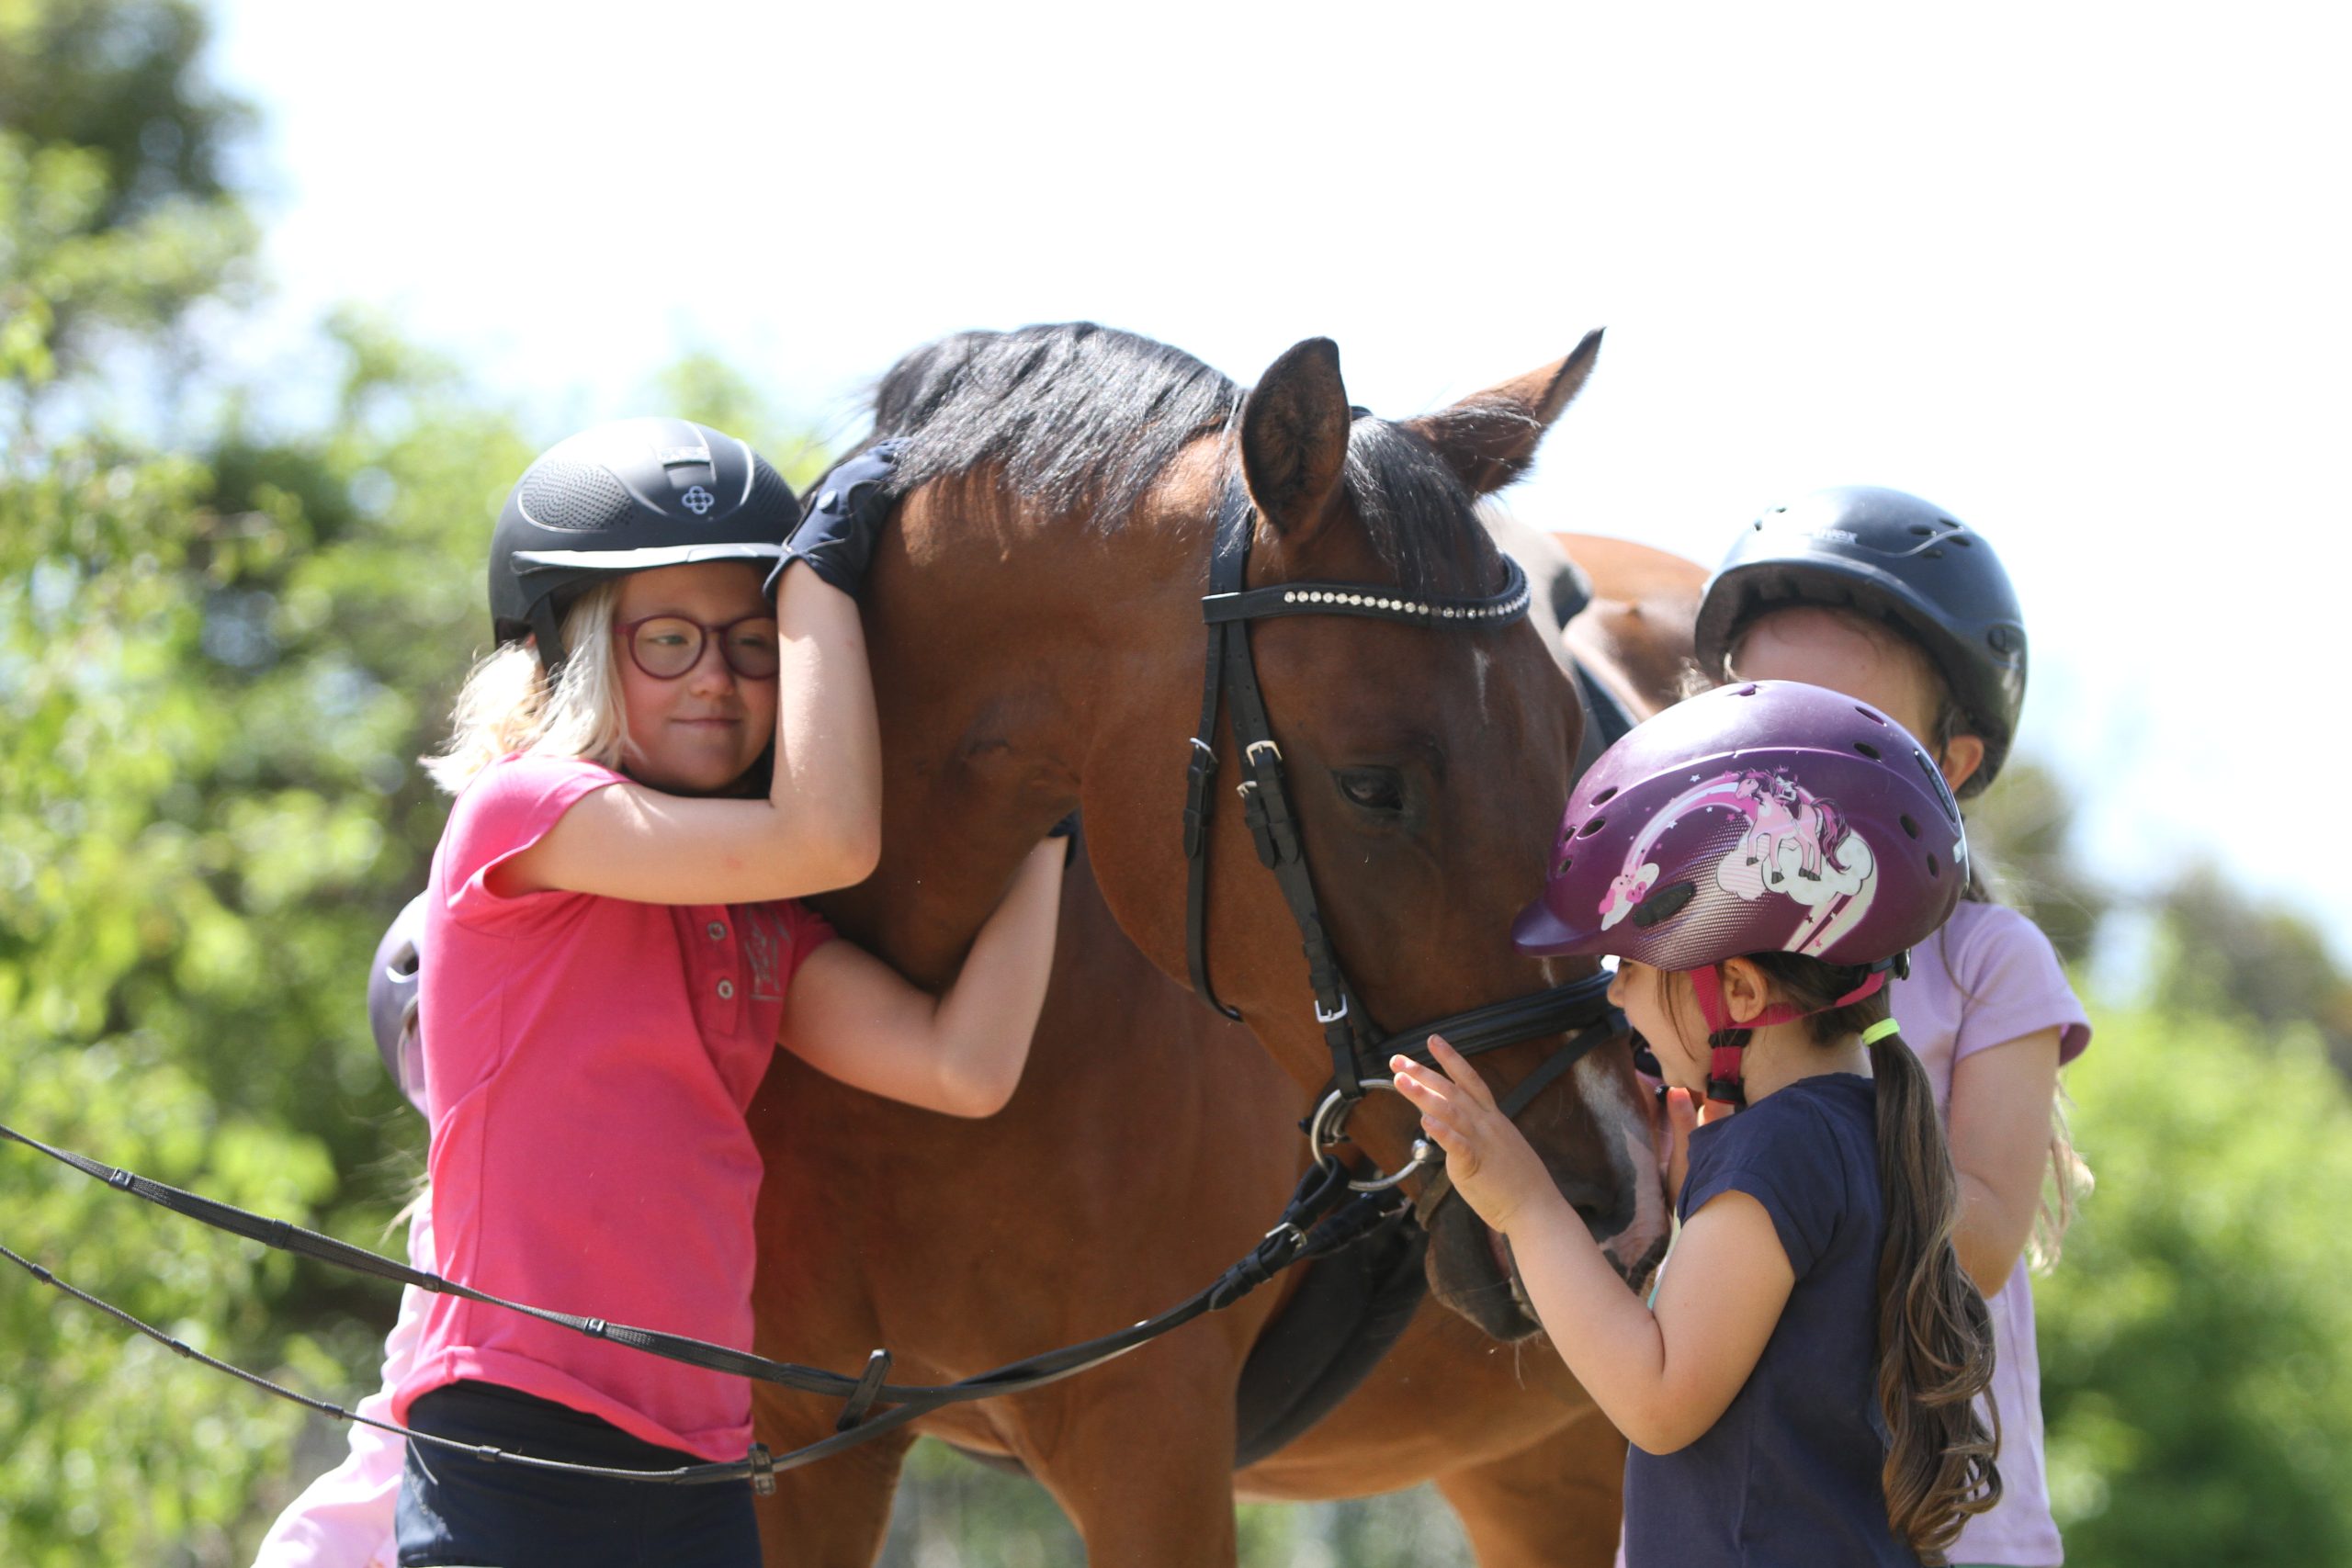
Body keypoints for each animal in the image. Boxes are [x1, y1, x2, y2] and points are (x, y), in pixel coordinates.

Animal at [745, 324, 1681, 1566]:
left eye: (1575, 750)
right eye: (1370, 786)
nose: (1618, 1209)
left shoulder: (1147, 1437)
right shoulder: (792, 1442)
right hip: (1541, 1468)